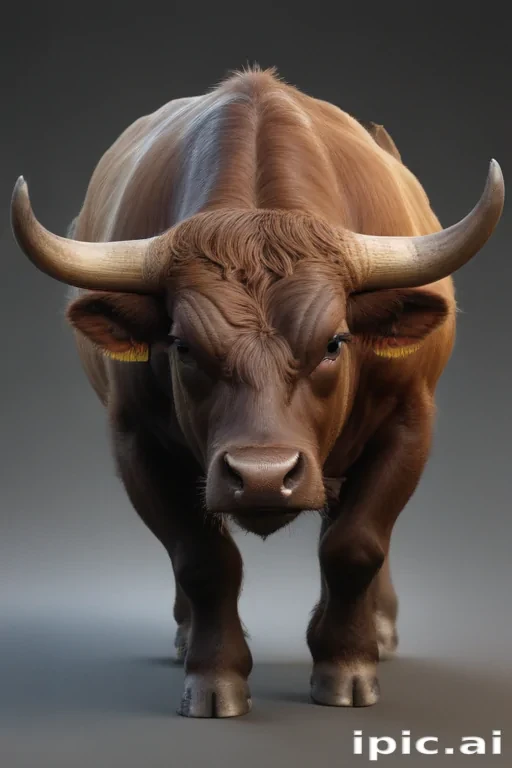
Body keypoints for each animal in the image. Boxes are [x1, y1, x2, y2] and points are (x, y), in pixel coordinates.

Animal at [11, 66, 504, 718]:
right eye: (182, 345)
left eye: (335, 342)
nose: (264, 475)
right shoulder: (136, 440)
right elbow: (201, 559)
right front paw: (214, 676)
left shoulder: (409, 420)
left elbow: (356, 545)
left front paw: (348, 665)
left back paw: (379, 629)